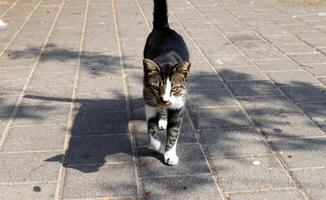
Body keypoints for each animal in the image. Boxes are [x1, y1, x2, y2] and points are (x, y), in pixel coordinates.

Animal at [143, 0, 191, 166]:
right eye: (156, 88)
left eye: (174, 89)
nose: (164, 99)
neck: (166, 61)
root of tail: (164, 28)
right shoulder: (149, 98)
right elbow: (150, 125)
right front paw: (156, 144)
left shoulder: (178, 105)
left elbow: (174, 132)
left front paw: (170, 154)